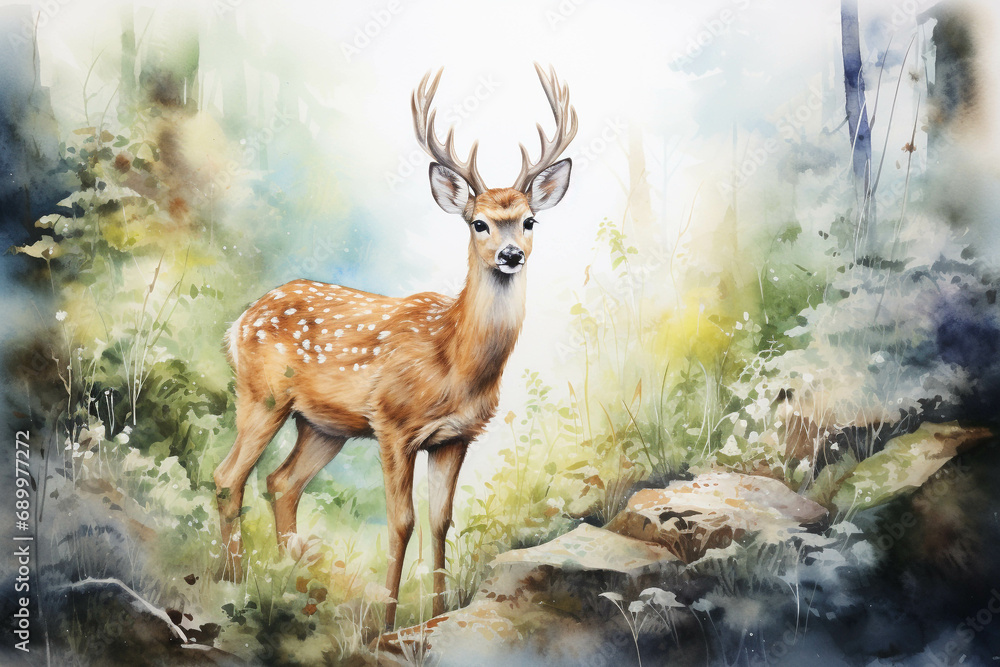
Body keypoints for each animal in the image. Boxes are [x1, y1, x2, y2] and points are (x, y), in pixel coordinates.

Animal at [212, 64, 578, 629]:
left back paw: (291, 583)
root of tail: (241, 321)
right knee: (228, 477)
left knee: (280, 482)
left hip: (323, 426)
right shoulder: (391, 423)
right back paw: (232, 582)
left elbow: (440, 521)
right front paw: (384, 623)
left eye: (529, 221)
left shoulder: (455, 437)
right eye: (479, 223)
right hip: (262, 395)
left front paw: (438, 612)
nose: (511, 254)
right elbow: (401, 520)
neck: (454, 362)